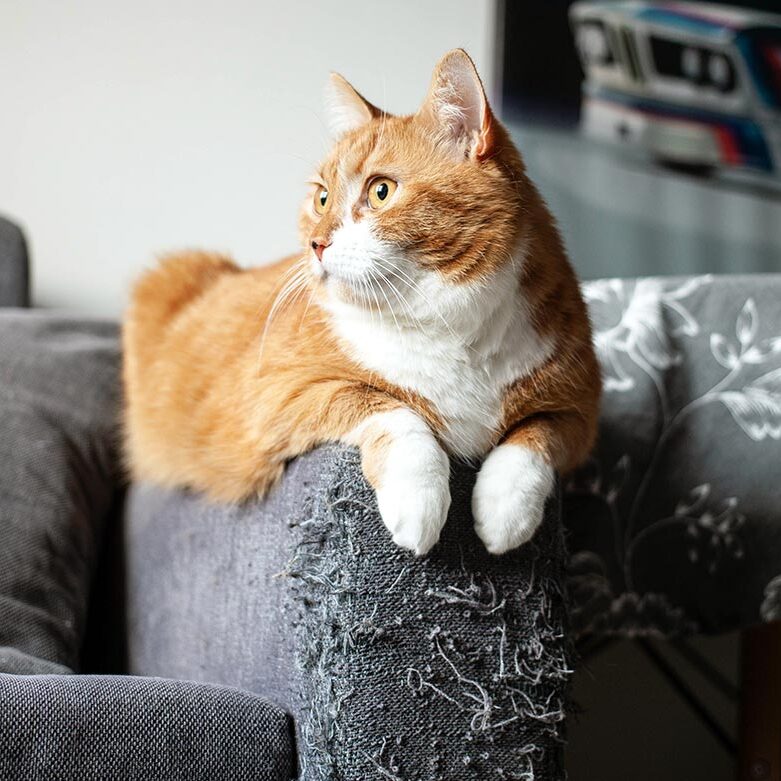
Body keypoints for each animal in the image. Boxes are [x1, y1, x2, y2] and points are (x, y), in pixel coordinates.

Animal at [122, 48, 600, 556]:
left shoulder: (582, 412)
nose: (315, 243)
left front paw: (505, 508)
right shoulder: (276, 393)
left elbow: (538, 434)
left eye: (380, 191)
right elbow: (385, 406)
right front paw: (418, 500)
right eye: (322, 197)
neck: (448, 328)